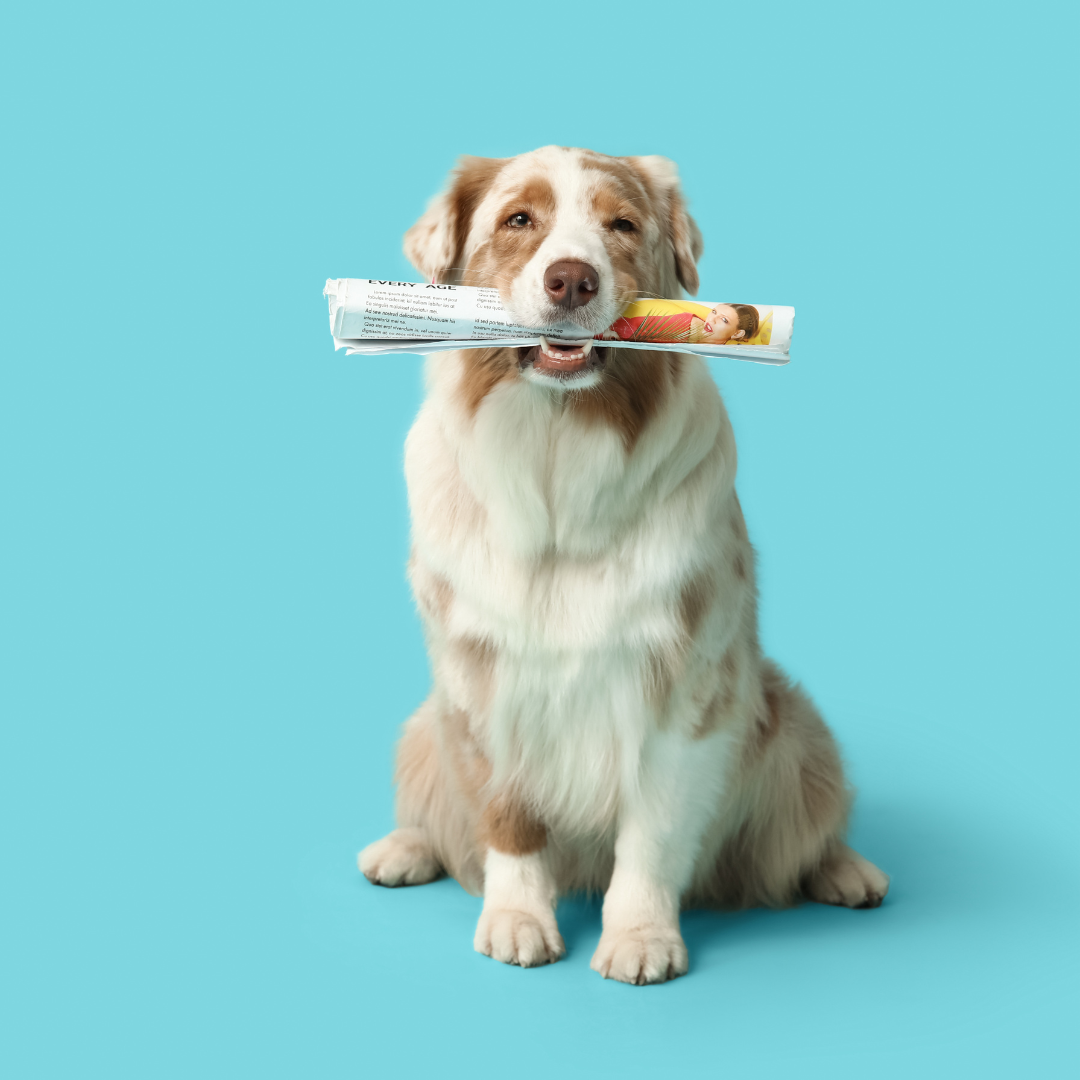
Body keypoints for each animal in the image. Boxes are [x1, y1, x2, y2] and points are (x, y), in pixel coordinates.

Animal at [358, 145, 889, 989]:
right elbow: (505, 816)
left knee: (801, 835)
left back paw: (847, 871)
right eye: (519, 219)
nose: (572, 280)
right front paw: (517, 918)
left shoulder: (688, 684)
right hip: (422, 725)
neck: (557, 450)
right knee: (437, 815)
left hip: (794, 722)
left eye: (623, 226)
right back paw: (400, 849)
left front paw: (640, 936)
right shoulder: (478, 679)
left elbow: (655, 827)